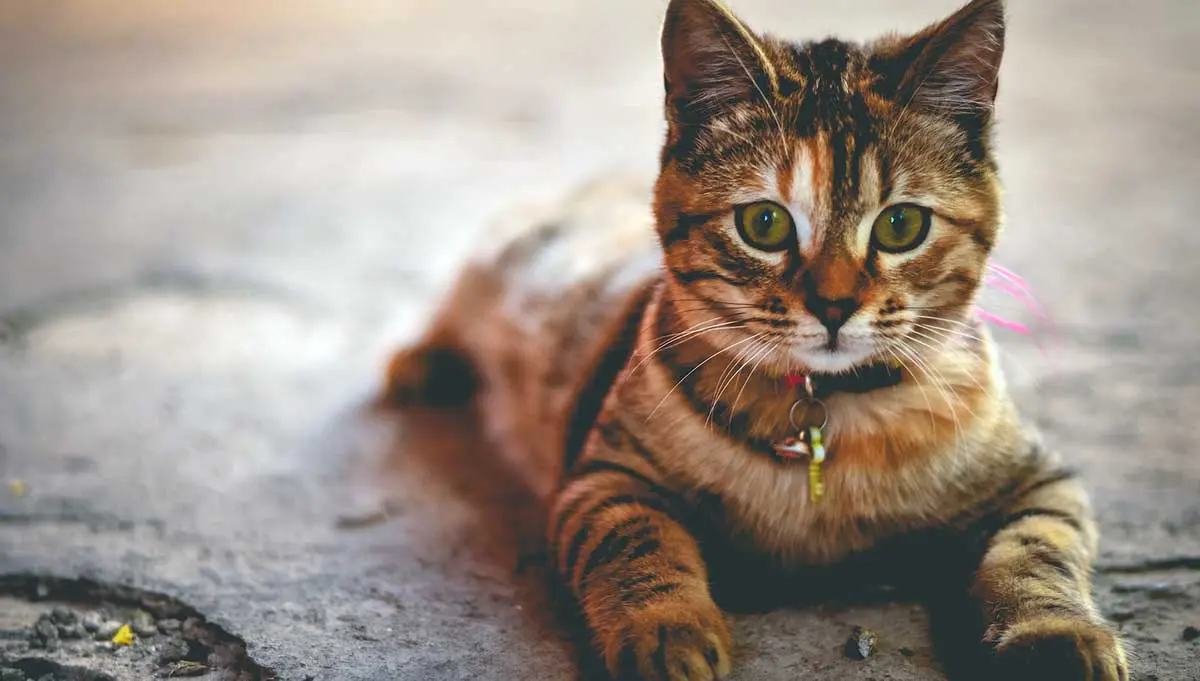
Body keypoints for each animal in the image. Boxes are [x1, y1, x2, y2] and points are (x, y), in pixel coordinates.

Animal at [381, 1, 1123, 681]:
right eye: (764, 223)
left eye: (902, 225)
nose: (834, 305)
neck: (832, 417)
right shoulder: (606, 479)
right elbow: (639, 545)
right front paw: (666, 630)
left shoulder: (1040, 481)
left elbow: (1036, 554)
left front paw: (1057, 633)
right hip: (504, 261)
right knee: (456, 299)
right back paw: (420, 362)